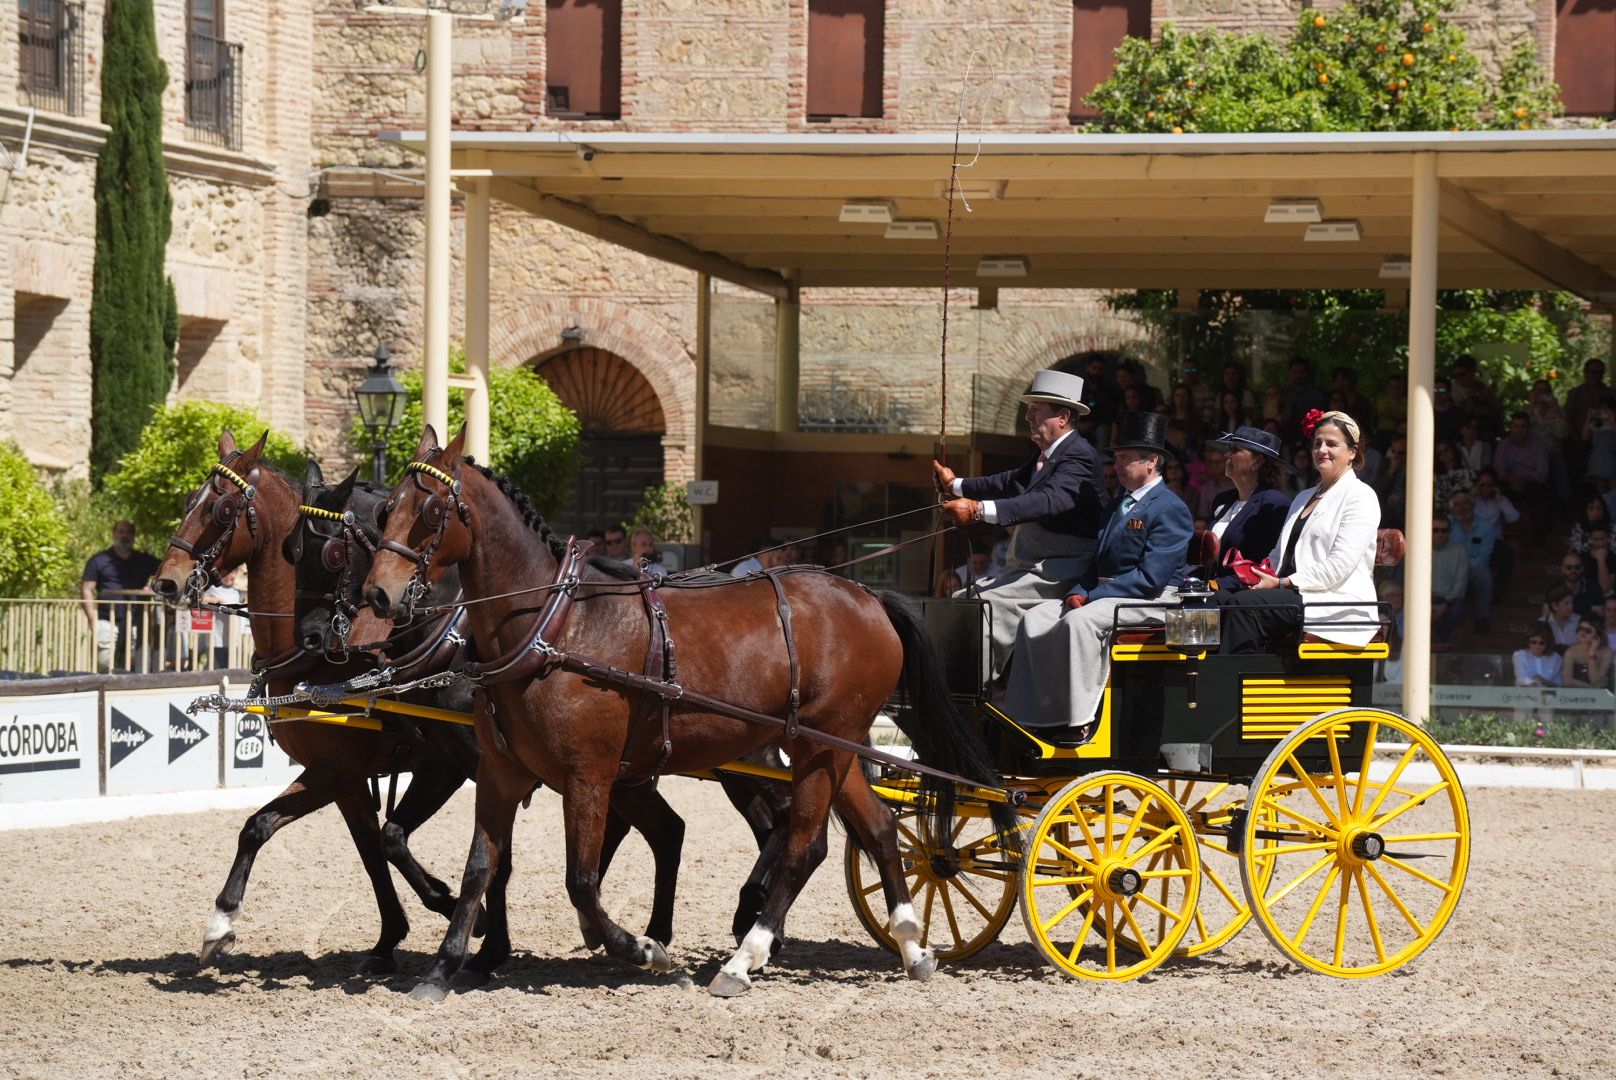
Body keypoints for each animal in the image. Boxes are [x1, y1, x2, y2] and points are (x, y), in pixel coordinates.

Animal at [363, 426, 1008, 1002]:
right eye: (387, 509)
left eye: (432, 511)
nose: (377, 595)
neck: (555, 626)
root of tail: (868, 597)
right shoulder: (498, 773)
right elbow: (479, 868)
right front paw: (444, 966)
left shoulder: (587, 775)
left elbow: (581, 881)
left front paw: (644, 950)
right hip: (834, 747)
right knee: (876, 829)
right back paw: (911, 945)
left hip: (819, 747)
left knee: (802, 843)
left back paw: (745, 957)